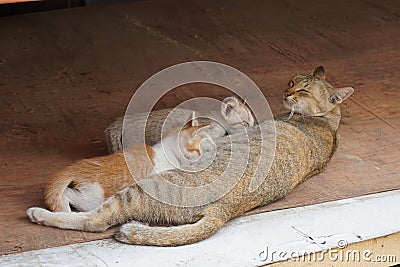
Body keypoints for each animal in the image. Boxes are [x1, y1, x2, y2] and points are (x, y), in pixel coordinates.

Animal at [45, 112, 211, 213]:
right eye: (201, 149)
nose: (205, 156)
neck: (167, 151)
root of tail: (78, 166)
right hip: (92, 198)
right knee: (67, 194)